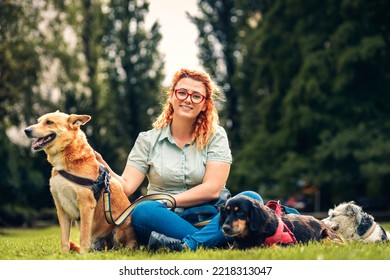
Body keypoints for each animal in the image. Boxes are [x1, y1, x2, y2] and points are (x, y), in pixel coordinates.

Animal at [24, 110, 137, 253]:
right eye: (38, 121)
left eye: (49, 122)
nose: (26, 130)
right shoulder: (61, 207)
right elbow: (64, 238)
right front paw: (64, 254)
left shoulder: (86, 205)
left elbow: (83, 234)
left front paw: (83, 254)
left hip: (120, 228)